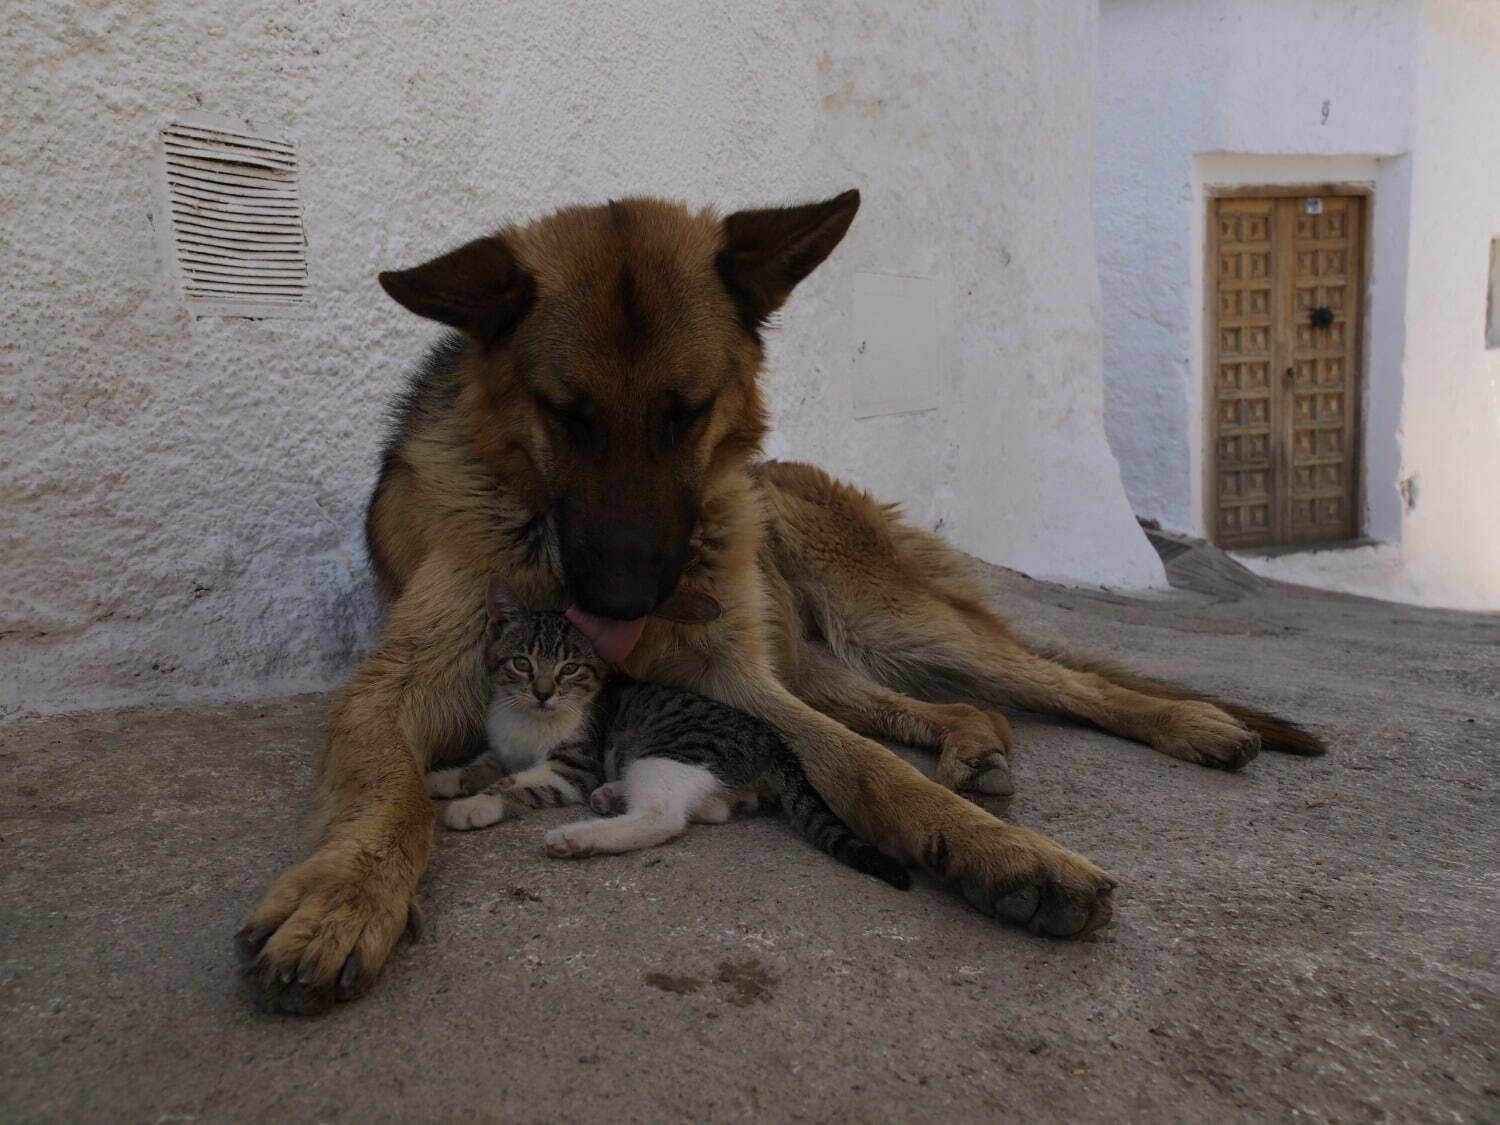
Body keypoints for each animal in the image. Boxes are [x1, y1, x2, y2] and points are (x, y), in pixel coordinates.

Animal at [423, 582, 912, 888]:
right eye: (522, 663)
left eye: (569, 669)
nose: (543, 694)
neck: (528, 721)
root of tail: (776, 743)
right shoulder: (504, 745)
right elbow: (486, 763)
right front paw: (443, 779)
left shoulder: (574, 766)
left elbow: (517, 783)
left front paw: (473, 806)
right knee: (714, 808)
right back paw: (613, 795)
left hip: (672, 752)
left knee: (664, 817)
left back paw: (577, 837)